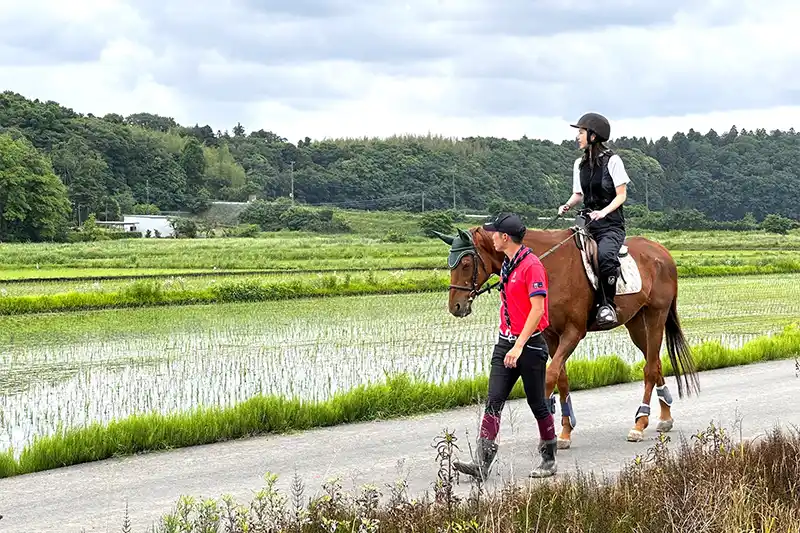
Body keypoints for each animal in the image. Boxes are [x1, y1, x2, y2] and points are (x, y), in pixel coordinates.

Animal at [432, 220, 700, 444]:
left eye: (466, 264)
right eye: (449, 264)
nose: (456, 306)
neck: (548, 265)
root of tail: (662, 253)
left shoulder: (573, 332)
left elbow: (550, 376)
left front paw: (550, 428)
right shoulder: (551, 335)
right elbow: (561, 378)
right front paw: (565, 430)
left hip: (656, 316)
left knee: (649, 368)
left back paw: (640, 423)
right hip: (636, 322)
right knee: (655, 363)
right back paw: (665, 417)